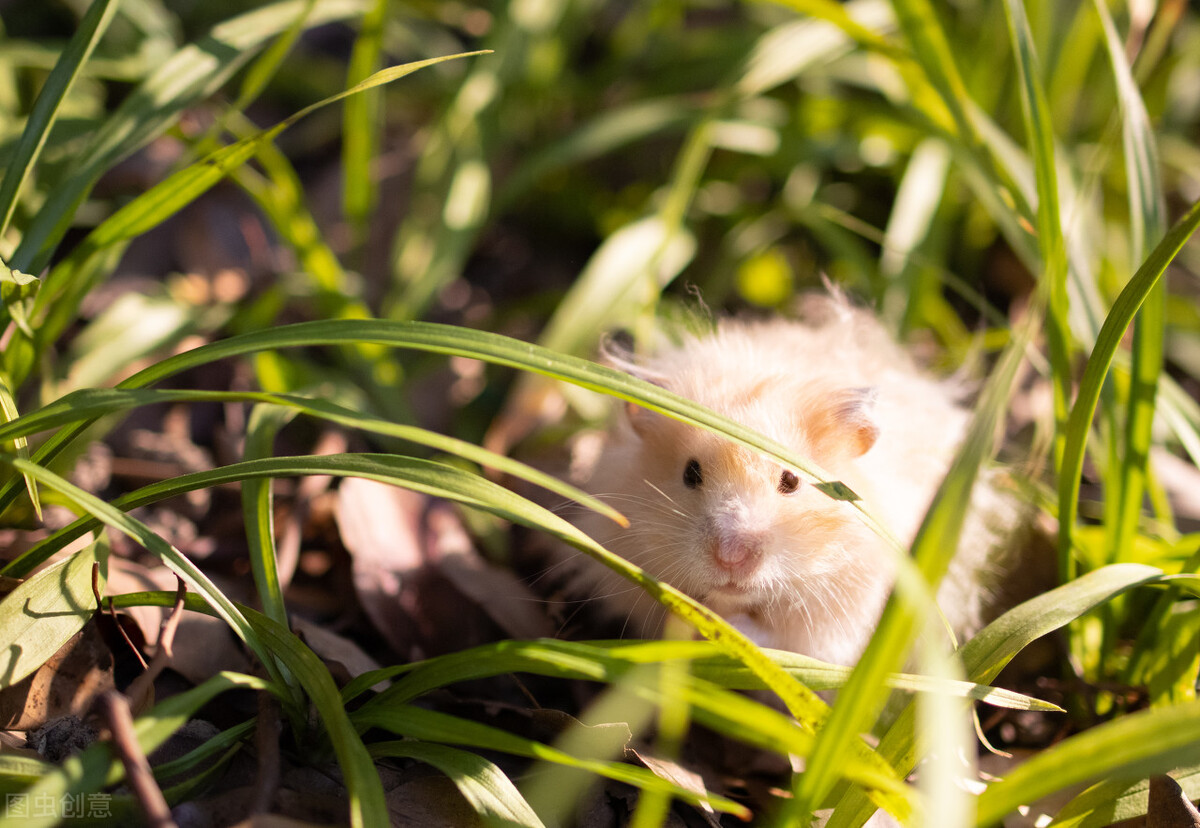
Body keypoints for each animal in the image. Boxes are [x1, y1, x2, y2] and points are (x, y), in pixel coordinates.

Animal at [566, 294, 1027, 662]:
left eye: (791, 482)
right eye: (690, 473)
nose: (731, 556)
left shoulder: (851, 609)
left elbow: (786, 641)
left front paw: (725, 628)